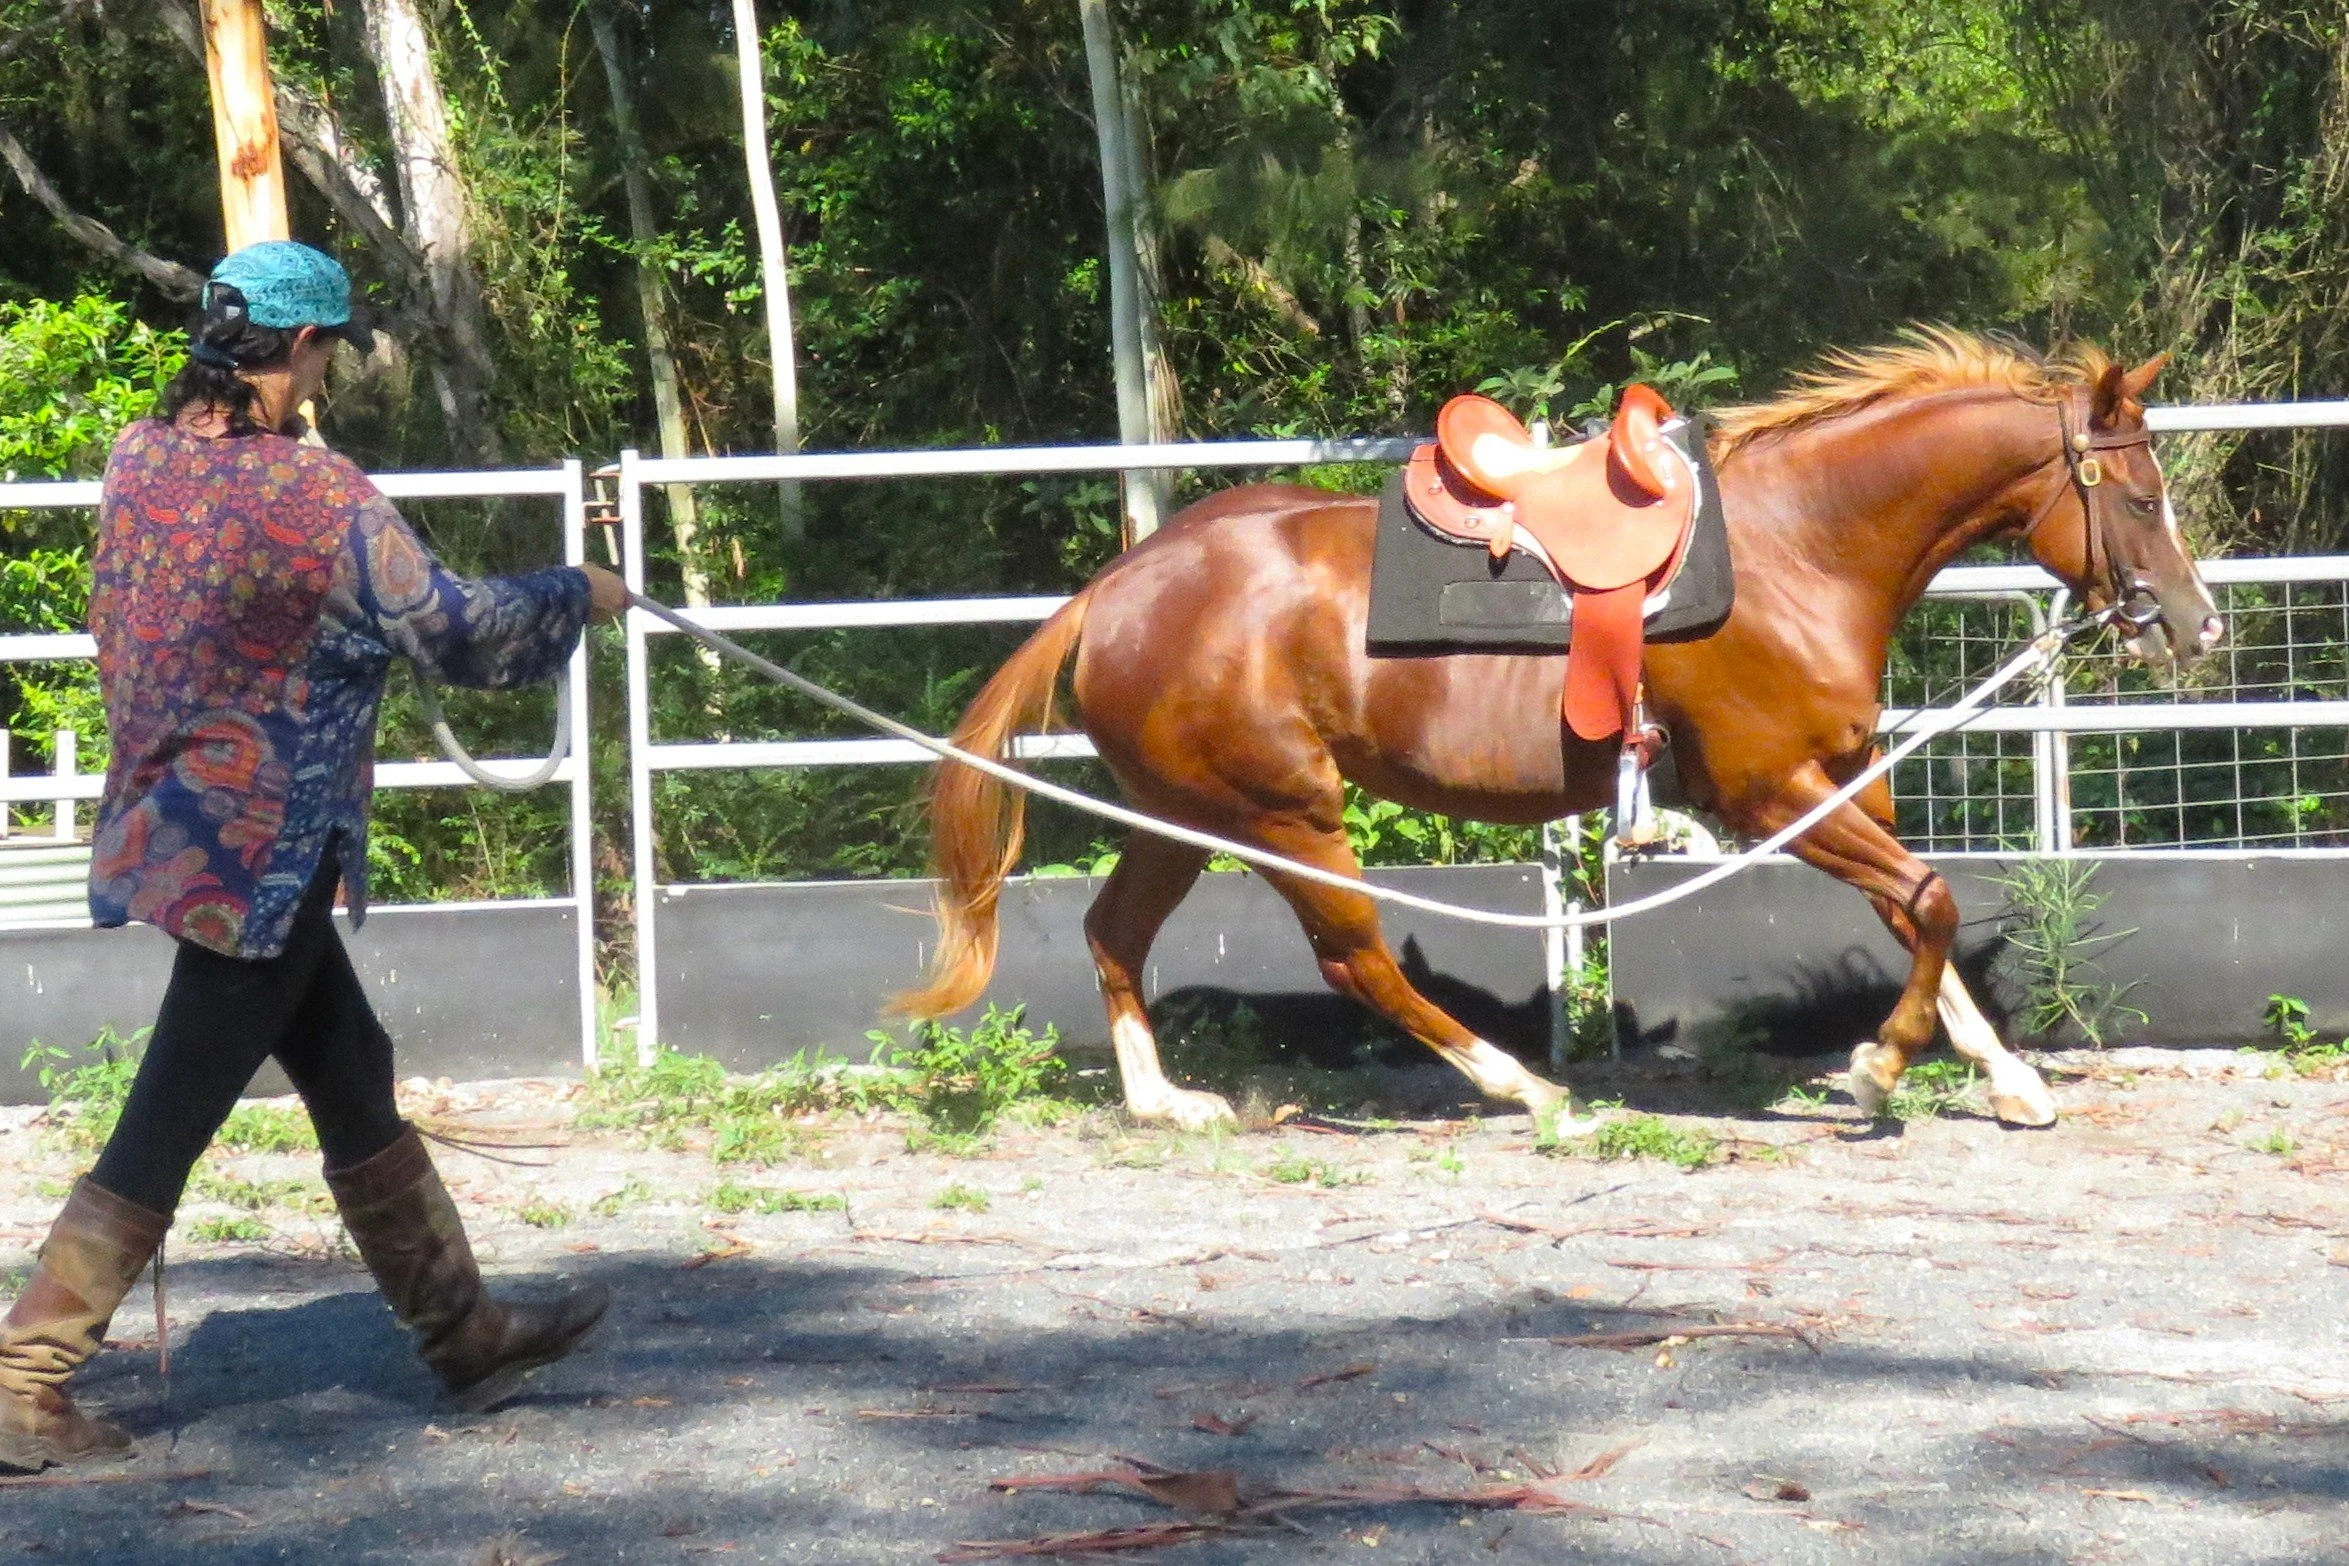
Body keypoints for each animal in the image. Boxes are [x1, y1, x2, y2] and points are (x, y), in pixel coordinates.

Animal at [894, 331, 2223, 1130]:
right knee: (1355, 959)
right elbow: (1932, 903)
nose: (2197, 626)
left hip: (1185, 815)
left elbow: (1915, 912)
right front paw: (1876, 1066)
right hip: (1285, 814)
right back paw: (1528, 1088)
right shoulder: (1770, 795)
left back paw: (1166, 1102)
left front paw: (2005, 1077)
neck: (1802, 548)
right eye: (2142, 497)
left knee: (1116, 931)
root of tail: (1115, 590)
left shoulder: (1847, 782)